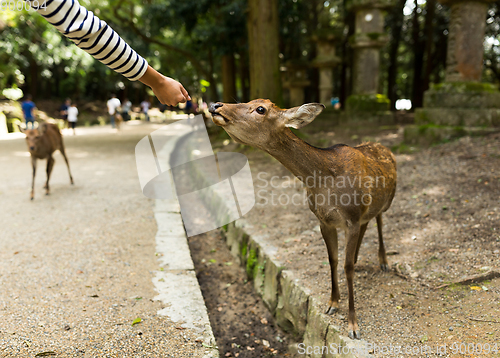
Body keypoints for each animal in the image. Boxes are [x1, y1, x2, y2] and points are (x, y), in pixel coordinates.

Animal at [209, 99, 396, 340]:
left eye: (260, 109)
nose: (215, 105)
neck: (324, 181)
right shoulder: (324, 221)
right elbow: (333, 260)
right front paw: (332, 303)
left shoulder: (352, 218)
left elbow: (347, 268)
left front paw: (353, 326)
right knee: (368, 223)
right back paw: (358, 256)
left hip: (387, 200)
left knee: (380, 220)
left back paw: (383, 261)